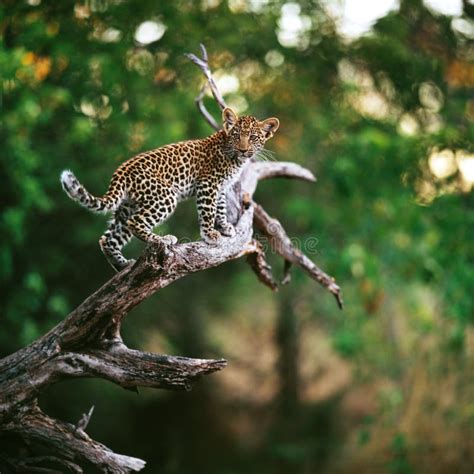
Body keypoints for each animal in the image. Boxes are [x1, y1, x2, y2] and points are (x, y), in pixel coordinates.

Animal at [61, 107, 280, 270]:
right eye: (236, 135)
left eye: (253, 137)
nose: (243, 149)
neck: (233, 156)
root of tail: (122, 171)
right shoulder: (208, 184)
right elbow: (208, 211)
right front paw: (210, 234)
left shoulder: (220, 187)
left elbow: (220, 208)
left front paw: (225, 226)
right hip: (165, 196)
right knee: (136, 222)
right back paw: (163, 240)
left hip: (128, 206)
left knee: (107, 239)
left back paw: (122, 264)